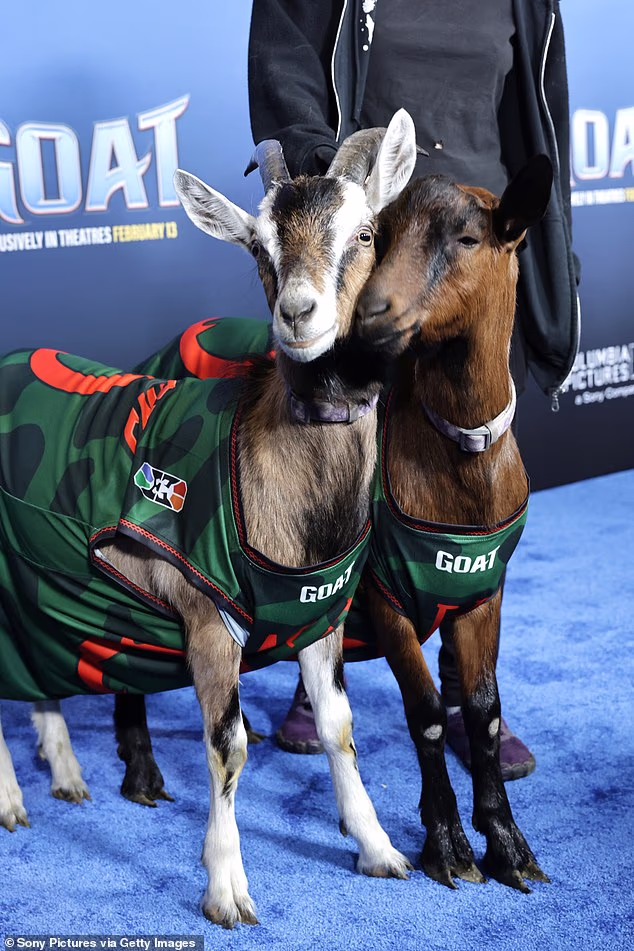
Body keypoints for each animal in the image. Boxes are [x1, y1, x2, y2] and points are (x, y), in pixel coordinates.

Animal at [0, 109, 417, 926]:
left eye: (364, 233)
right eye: (258, 246)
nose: (298, 314)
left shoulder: (316, 615)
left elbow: (339, 730)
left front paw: (377, 846)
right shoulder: (207, 615)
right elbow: (229, 746)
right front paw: (226, 887)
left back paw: (64, 771)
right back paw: (11, 798)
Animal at [352, 156, 554, 892]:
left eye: (467, 238)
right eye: (379, 235)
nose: (370, 313)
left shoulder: (480, 592)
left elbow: (484, 713)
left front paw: (508, 842)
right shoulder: (385, 594)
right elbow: (428, 715)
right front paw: (447, 844)